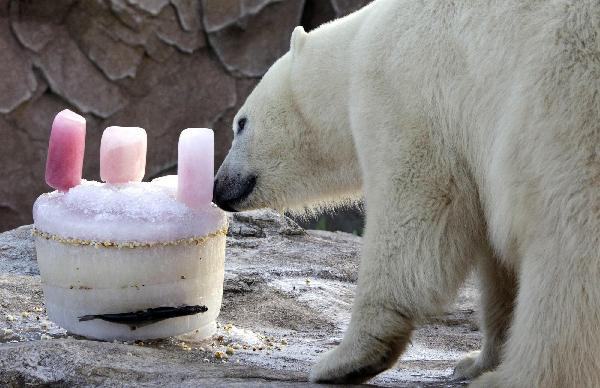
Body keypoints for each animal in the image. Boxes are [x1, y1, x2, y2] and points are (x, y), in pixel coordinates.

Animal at [213, 1, 600, 386]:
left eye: (240, 124)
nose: (219, 187)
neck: (353, 54)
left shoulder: (406, 96)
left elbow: (415, 218)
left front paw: (343, 360)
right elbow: (495, 264)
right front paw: (475, 361)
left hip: (562, 97)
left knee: (564, 246)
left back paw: (521, 376)